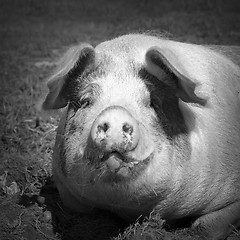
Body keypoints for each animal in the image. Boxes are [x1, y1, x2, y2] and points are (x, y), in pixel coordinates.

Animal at [41, 34, 240, 240]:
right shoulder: (66, 190)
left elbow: (207, 225)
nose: (115, 112)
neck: (130, 210)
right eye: (85, 101)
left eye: (152, 102)